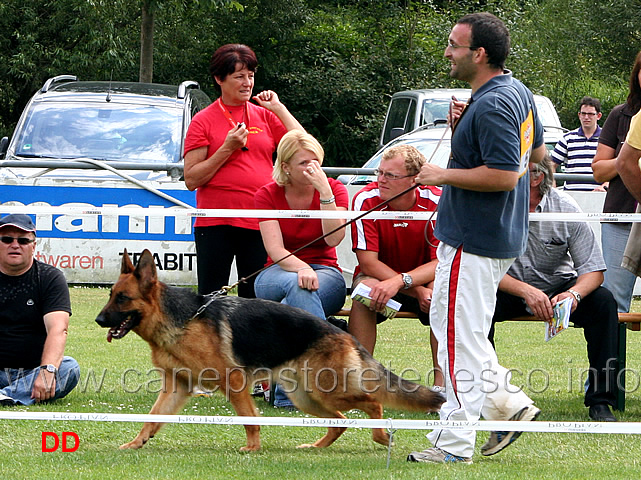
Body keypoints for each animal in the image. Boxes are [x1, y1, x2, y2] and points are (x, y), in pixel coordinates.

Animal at [96, 249, 444, 452]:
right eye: (111, 295)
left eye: (123, 298)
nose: (99, 320)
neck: (180, 320)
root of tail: (342, 334)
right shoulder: (177, 387)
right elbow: (151, 419)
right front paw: (136, 442)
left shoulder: (234, 383)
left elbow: (250, 419)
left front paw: (252, 449)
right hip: (308, 398)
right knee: (342, 420)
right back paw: (317, 446)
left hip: (327, 392)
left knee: (373, 403)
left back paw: (381, 436)